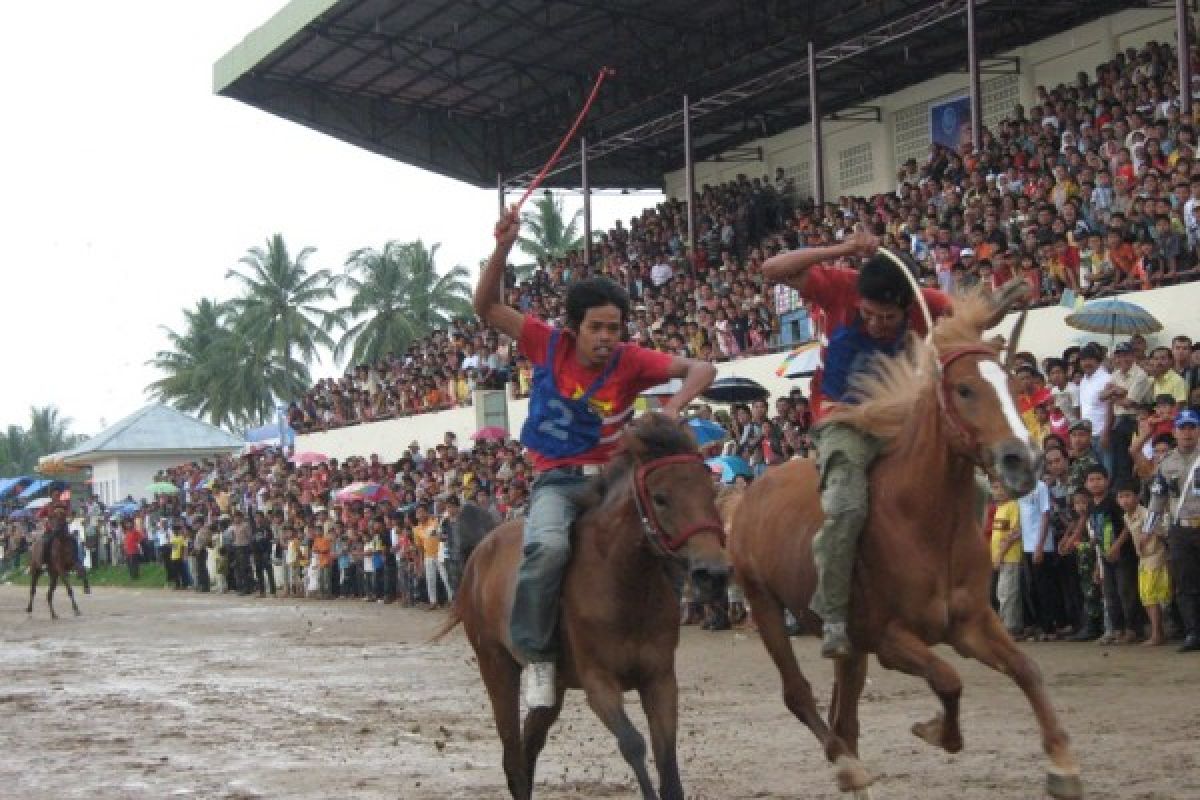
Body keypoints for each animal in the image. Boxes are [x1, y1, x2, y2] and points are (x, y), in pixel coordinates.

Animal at [434, 412, 724, 800]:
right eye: (661, 498)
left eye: (711, 491)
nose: (713, 572)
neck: (623, 583)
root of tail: (480, 550)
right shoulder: (598, 681)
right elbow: (633, 744)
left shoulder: (660, 678)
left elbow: (667, 763)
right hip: (496, 665)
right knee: (512, 753)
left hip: (552, 689)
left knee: (528, 747)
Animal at [724, 287, 1084, 800]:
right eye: (964, 389)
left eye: (1014, 386)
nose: (1022, 460)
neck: (925, 524)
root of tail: (748, 494)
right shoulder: (889, 638)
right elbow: (949, 680)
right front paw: (934, 731)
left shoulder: (971, 624)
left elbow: (1026, 670)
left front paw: (1062, 765)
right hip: (766, 605)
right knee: (801, 697)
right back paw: (846, 766)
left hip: (848, 646)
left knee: (845, 719)